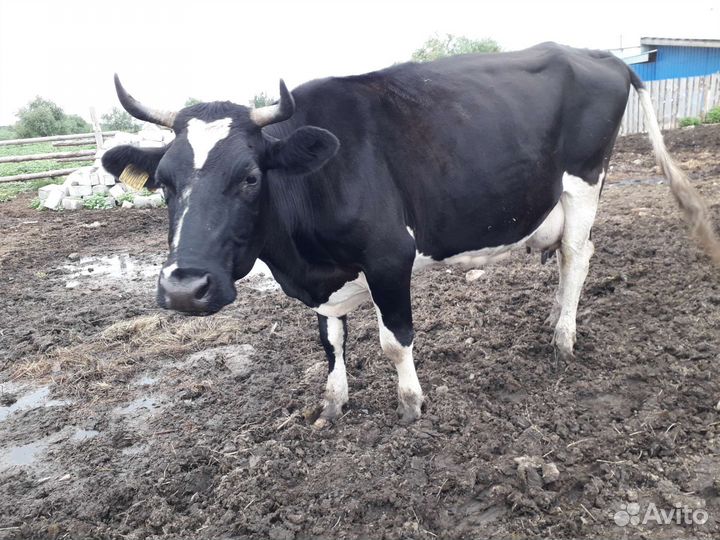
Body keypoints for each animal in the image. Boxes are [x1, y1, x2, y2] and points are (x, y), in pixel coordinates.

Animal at [102, 42, 720, 427]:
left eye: (251, 177)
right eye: (162, 182)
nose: (184, 287)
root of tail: (597, 54)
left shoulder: (389, 255)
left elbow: (394, 341)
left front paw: (410, 406)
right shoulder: (325, 282)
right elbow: (330, 341)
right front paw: (332, 405)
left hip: (584, 182)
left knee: (576, 255)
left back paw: (563, 339)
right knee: (574, 254)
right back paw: (552, 321)